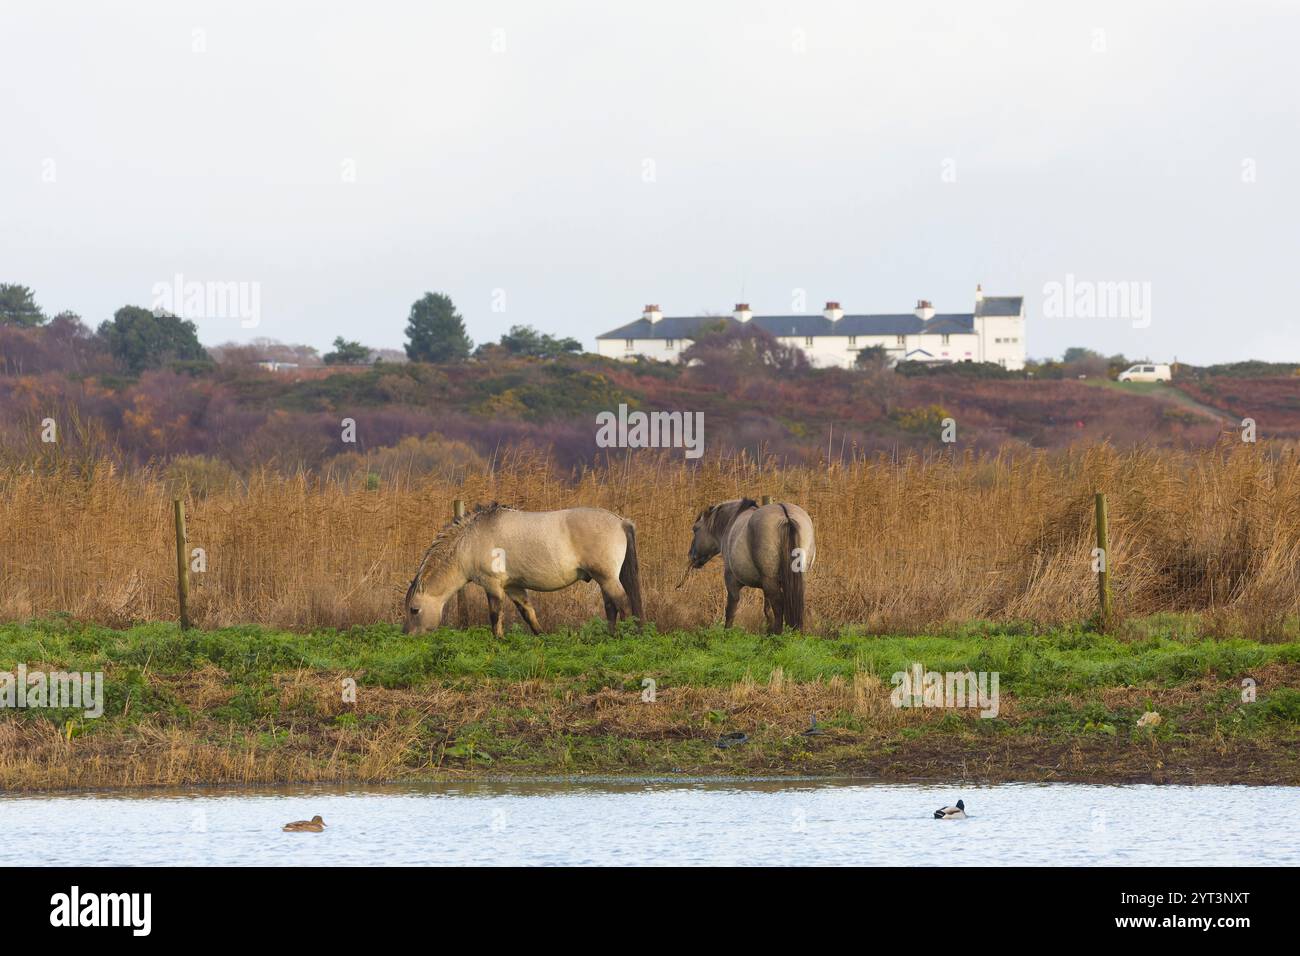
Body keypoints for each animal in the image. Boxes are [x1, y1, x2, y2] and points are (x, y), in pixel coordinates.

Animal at [403, 503, 643, 637]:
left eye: (414, 610)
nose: (406, 635)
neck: (469, 541)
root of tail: (621, 522)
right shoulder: (513, 587)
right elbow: (528, 613)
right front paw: (542, 637)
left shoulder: (492, 585)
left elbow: (494, 614)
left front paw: (498, 640)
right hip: (603, 579)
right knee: (611, 607)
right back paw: (610, 635)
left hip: (607, 578)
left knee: (623, 603)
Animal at [682, 498, 815, 634]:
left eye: (695, 529)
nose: (691, 555)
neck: (732, 522)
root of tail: (785, 515)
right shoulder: (766, 588)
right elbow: (767, 611)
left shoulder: (731, 581)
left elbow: (730, 611)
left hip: (770, 581)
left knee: (778, 607)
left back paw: (778, 635)